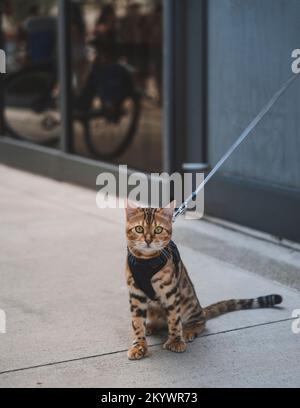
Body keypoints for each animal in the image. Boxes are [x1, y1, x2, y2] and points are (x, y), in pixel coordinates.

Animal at [125, 202, 284, 358]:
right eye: (139, 229)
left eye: (158, 230)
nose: (148, 240)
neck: (146, 261)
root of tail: (200, 308)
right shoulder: (136, 294)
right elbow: (137, 322)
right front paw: (139, 345)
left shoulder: (170, 292)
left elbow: (174, 319)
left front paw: (176, 341)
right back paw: (151, 326)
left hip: (189, 304)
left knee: (200, 320)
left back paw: (188, 330)